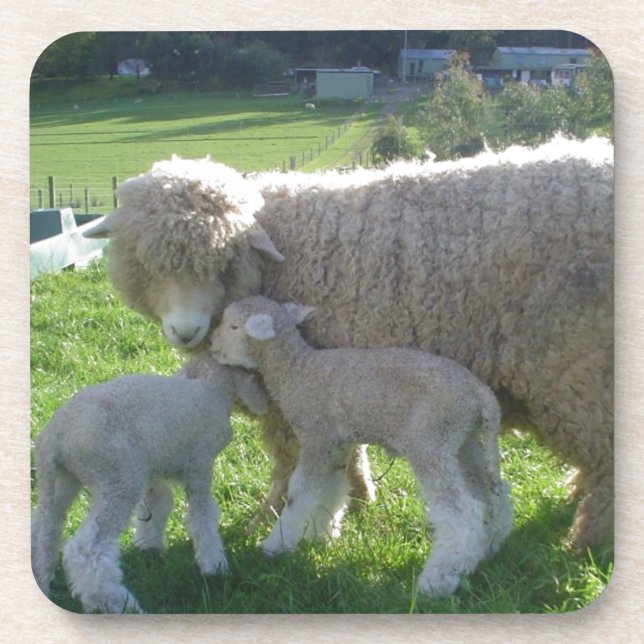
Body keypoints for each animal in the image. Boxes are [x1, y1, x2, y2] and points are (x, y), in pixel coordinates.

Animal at [31, 359, 266, 614]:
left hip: (62, 481)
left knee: (43, 530)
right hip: (119, 477)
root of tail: (54, 436)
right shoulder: (198, 465)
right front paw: (215, 566)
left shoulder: (153, 468)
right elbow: (203, 517)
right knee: (86, 549)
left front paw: (148, 546)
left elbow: (158, 504)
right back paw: (117, 603)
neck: (211, 387)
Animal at [83, 136, 613, 551]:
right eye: (143, 262)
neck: (278, 252)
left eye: (224, 261)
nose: (186, 331)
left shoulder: (292, 397)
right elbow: (344, 451)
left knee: (607, 454)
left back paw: (589, 540)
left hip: (575, 364)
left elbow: (289, 462)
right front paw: (357, 497)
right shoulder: (335, 388)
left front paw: (271, 517)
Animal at [210, 296, 513, 596]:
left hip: (431, 441)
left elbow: (300, 493)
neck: (296, 371)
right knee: (493, 496)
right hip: (464, 441)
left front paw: (276, 545)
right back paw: (485, 550)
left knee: (463, 511)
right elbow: (331, 490)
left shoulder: (316, 435)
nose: (212, 346)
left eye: (234, 326)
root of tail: (482, 395)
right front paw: (319, 537)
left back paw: (437, 581)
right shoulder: (336, 445)